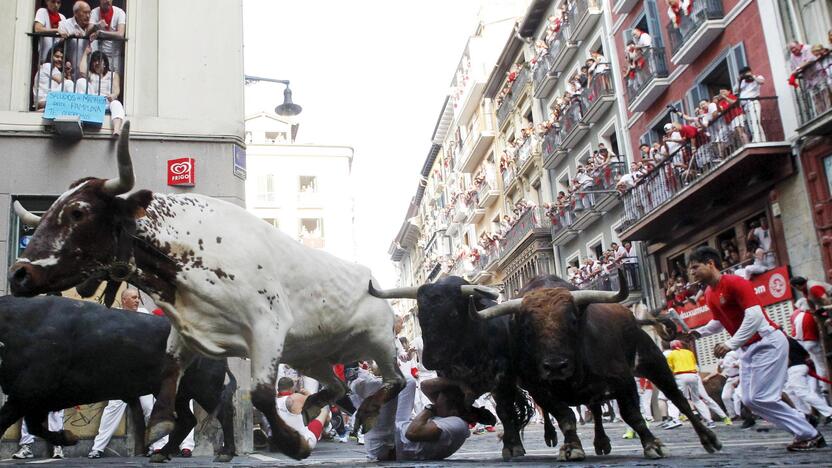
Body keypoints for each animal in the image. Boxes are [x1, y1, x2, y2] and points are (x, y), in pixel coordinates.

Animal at [0, 296, 237, 460]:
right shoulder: (29, 399)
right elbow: (31, 425)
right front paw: (69, 437)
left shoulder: (26, 394)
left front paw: (68, 438)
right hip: (181, 393)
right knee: (188, 420)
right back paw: (162, 453)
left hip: (205, 389)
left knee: (223, 412)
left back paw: (225, 453)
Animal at [370, 272, 720, 458]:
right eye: (420, 313)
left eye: (454, 312)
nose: (429, 359)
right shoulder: (459, 382)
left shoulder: (503, 380)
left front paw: (512, 446)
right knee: (589, 408)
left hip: (652, 362)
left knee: (677, 399)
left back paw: (707, 437)